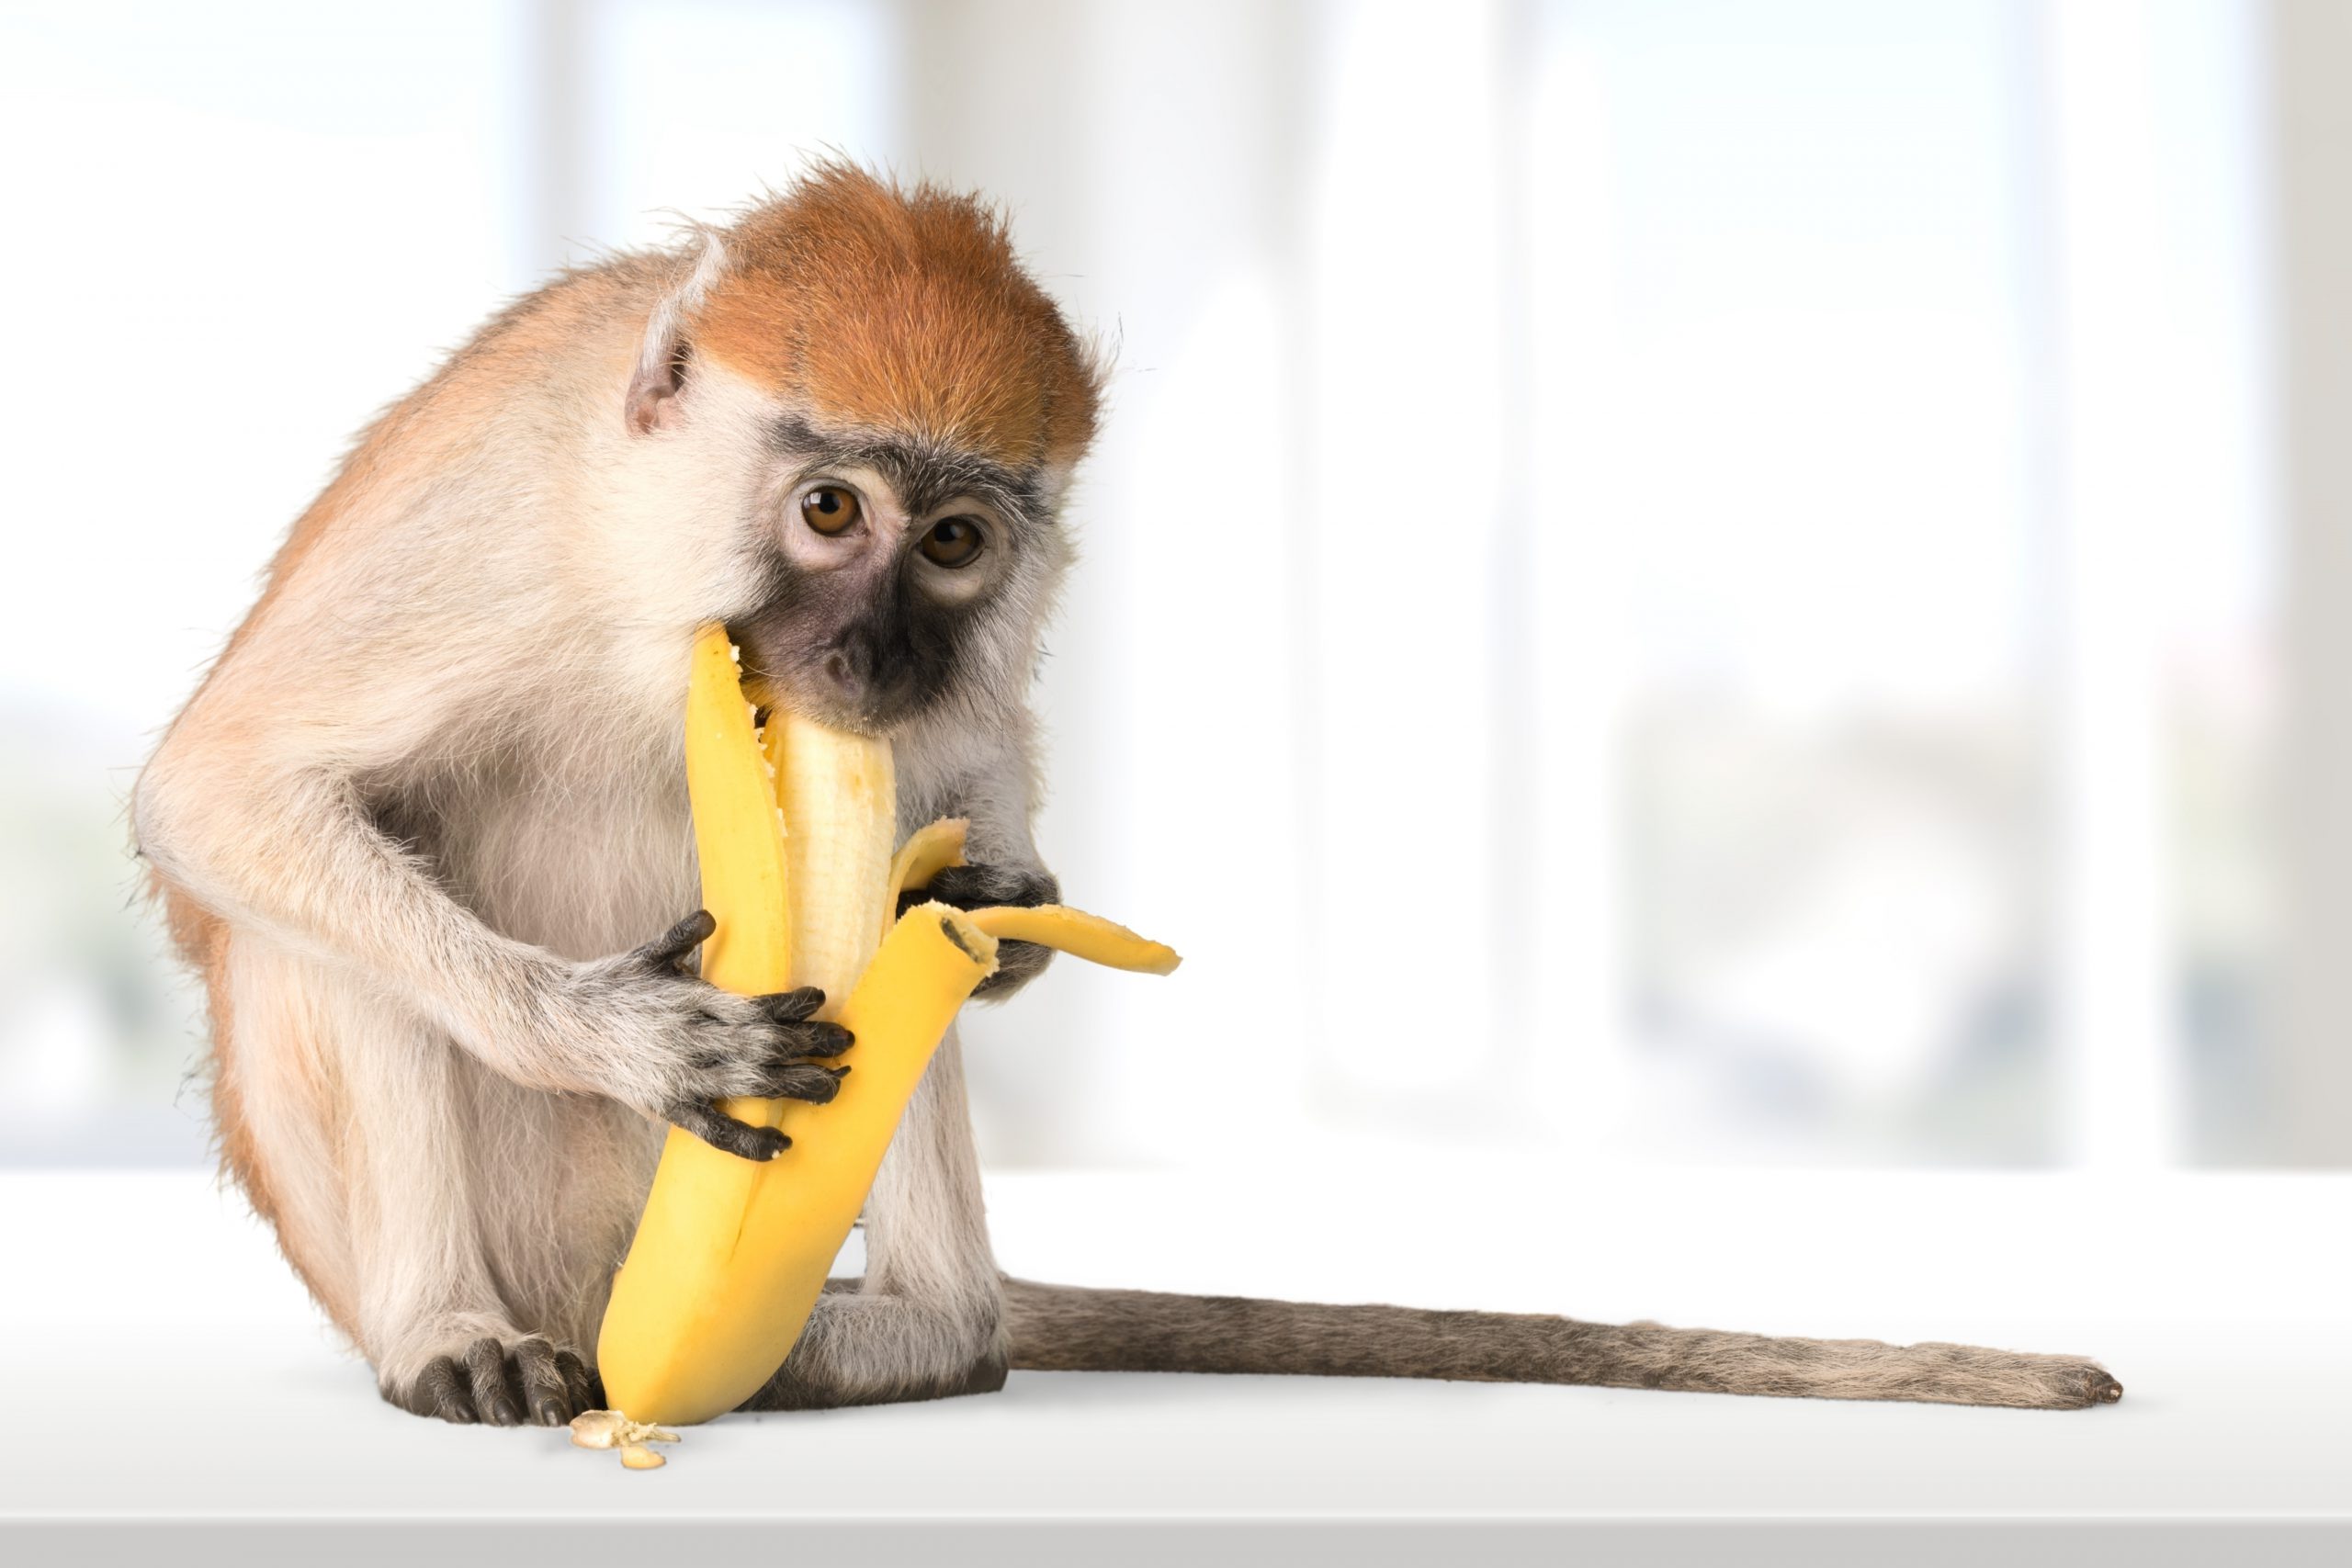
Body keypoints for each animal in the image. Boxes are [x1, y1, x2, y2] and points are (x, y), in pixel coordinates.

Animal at [137, 165, 2126, 1429]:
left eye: (953, 541)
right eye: (830, 509)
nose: (869, 651)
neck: (654, 572)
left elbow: (964, 802)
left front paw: (1010, 892)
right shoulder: (498, 525)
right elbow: (226, 791)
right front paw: (630, 1035)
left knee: (901, 942)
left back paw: (926, 1338)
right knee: (333, 912)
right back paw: (454, 1330)